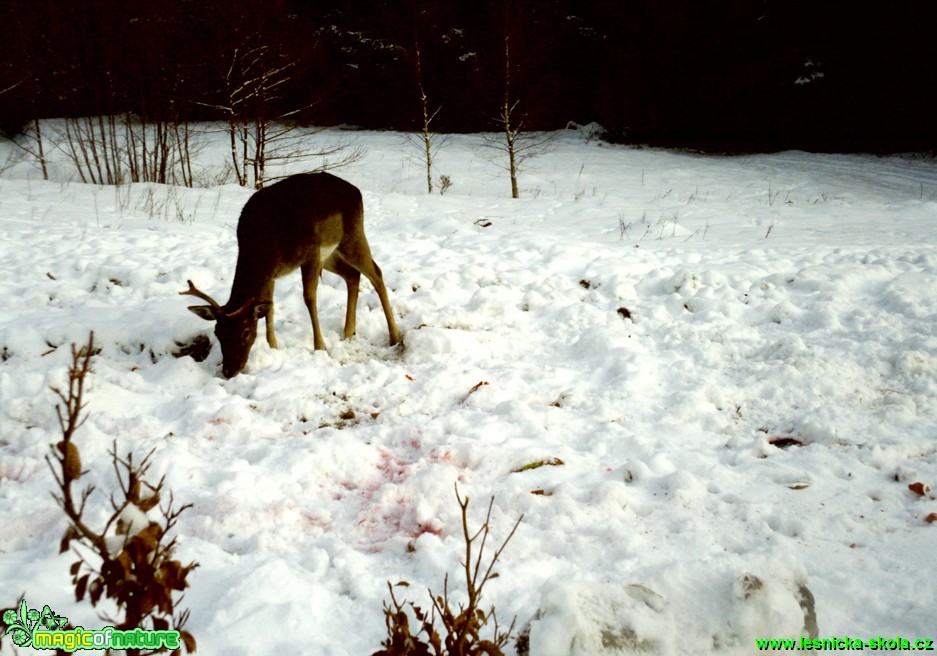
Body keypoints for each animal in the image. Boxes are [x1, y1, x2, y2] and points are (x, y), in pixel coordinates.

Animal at [181, 173, 400, 380]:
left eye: (246, 332)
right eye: (217, 332)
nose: (229, 371)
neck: (265, 242)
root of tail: (356, 190)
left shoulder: (311, 253)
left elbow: (309, 298)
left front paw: (320, 346)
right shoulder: (272, 273)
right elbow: (269, 307)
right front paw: (273, 347)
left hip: (352, 235)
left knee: (376, 273)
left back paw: (394, 336)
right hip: (331, 253)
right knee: (352, 275)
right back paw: (348, 332)